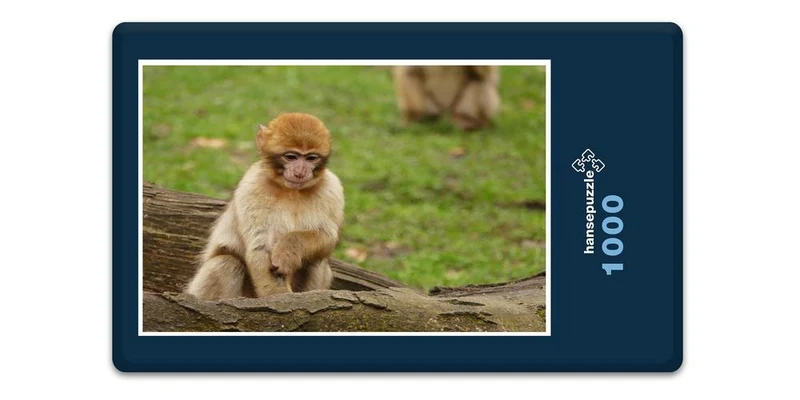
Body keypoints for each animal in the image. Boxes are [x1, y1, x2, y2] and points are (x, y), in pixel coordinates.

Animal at [185, 113, 344, 301]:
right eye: (291, 157)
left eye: (311, 158)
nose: (300, 173)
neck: (292, 191)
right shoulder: (253, 187)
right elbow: (260, 246)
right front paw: (281, 299)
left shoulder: (332, 188)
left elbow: (326, 236)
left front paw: (288, 249)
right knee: (226, 263)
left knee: (316, 262)